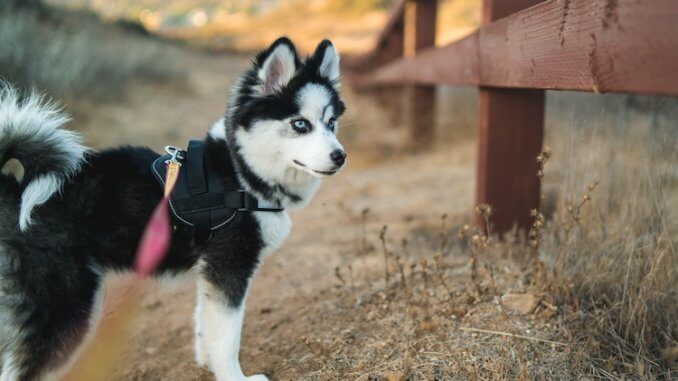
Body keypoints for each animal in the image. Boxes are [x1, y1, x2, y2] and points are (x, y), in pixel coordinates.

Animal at [0, 36, 348, 380]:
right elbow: (227, 338)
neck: (240, 170)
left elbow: (206, 325)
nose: (340, 157)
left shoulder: (210, 272)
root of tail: (15, 190)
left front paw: (208, 364)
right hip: (65, 307)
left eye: (332, 123)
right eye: (300, 124)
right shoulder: (229, 268)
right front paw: (234, 376)